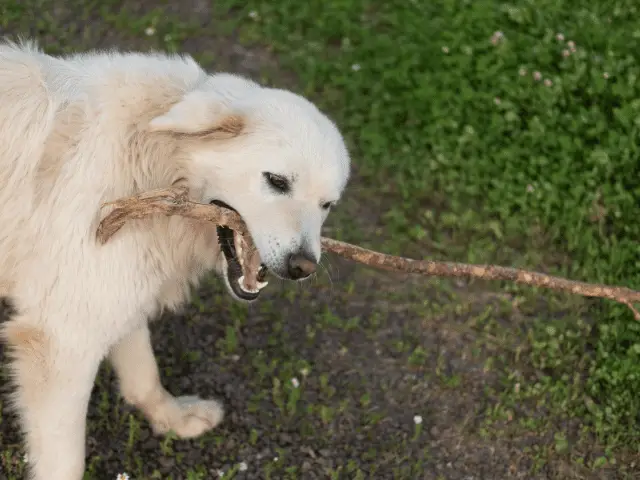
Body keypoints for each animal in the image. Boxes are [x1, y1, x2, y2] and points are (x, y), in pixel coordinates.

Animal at [0, 39, 350, 478]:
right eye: (277, 181)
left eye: (327, 205)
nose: (303, 267)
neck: (154, 157)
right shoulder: (62, 341)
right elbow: (66, 461)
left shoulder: (117, 292)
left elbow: (143, 372)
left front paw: (171, 419)